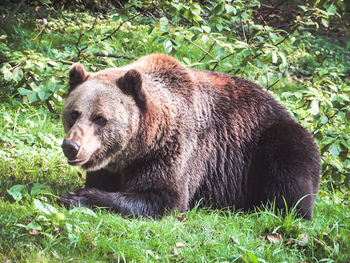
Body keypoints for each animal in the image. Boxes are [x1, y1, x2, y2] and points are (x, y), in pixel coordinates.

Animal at [59, 53, 320, 219]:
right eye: (74, 113)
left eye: (100, 118)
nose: (72, 146)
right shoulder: (111, 165)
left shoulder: (174, 149)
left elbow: (164, 197)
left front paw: (79, 197)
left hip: (274, 142)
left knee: (291, 181)